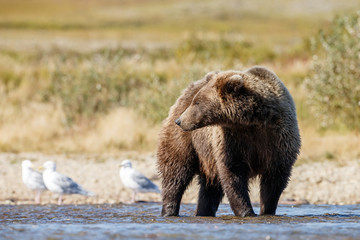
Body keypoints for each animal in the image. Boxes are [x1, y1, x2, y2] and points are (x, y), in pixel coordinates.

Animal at [158, 65, 300, 218]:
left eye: (197, 102)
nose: (179, 121)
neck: (251, 122)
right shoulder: (231, 140)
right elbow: (233, 173)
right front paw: (247, 211)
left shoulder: (277, 140)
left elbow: (275, 179)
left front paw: (267, 211)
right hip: (186, 142)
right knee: (175, 172)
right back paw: (169, 210)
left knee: (210, 187)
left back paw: (204, 212)